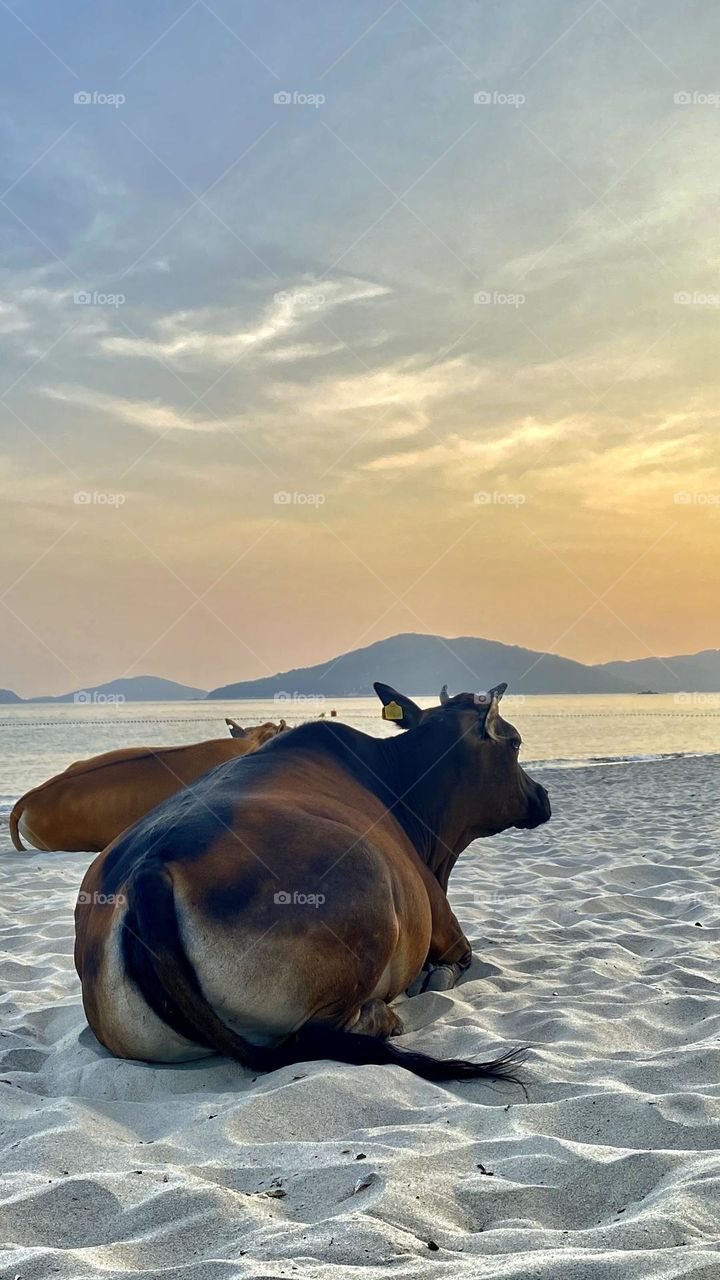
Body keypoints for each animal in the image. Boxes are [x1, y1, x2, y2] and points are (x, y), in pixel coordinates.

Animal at [74, 680, 548, 1080]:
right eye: (516, 743)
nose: (542, 796)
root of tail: (149, 868)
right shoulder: (447, 929)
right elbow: (456, 964)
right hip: (368, 897)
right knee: (317, 1033)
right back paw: (384, 1017)